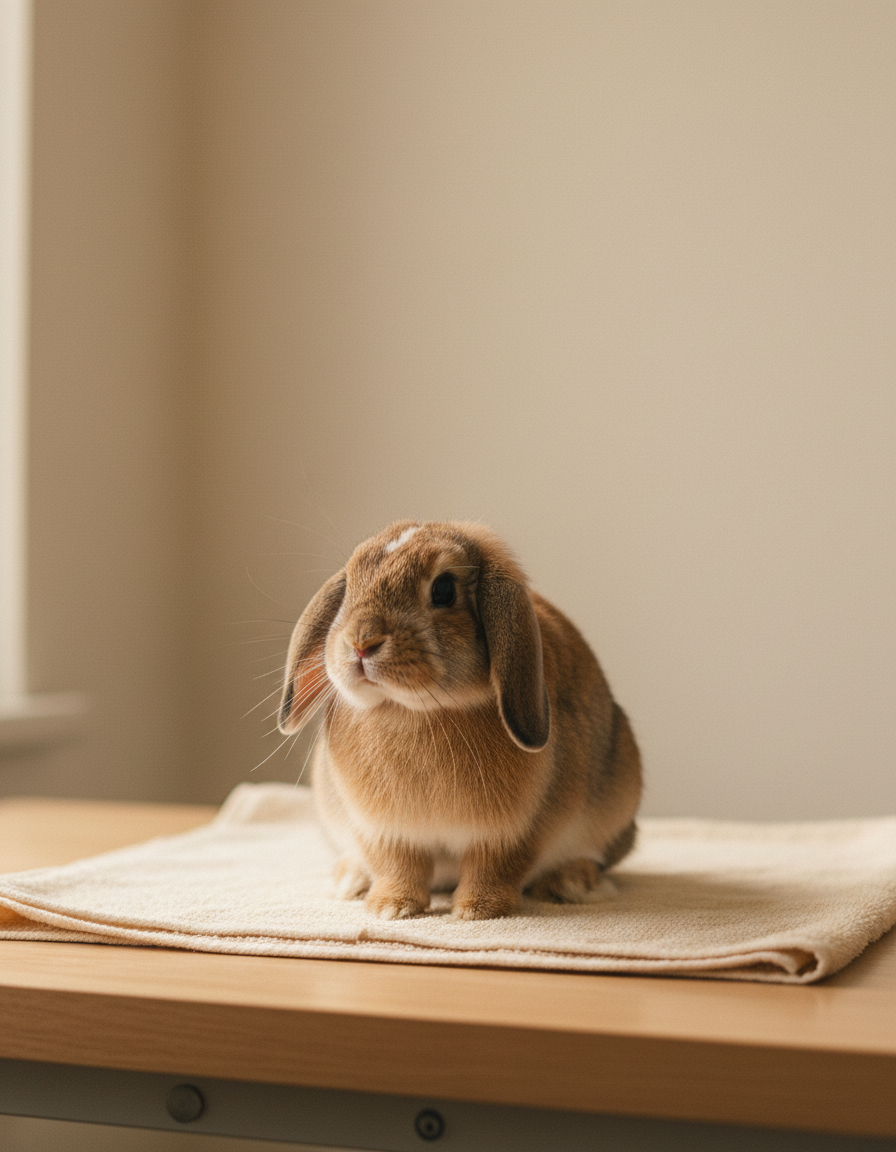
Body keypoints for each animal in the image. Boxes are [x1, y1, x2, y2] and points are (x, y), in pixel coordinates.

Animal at [278, 520, 642, 920]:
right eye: (350, 586)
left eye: (443, 590)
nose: (361, 642)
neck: (415, 711)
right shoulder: (385, 832)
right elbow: (397, 867)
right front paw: (391, 907)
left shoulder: (513, 833)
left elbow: (494, 867)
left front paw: (477, 910)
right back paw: (351, 879)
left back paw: (571, 883)